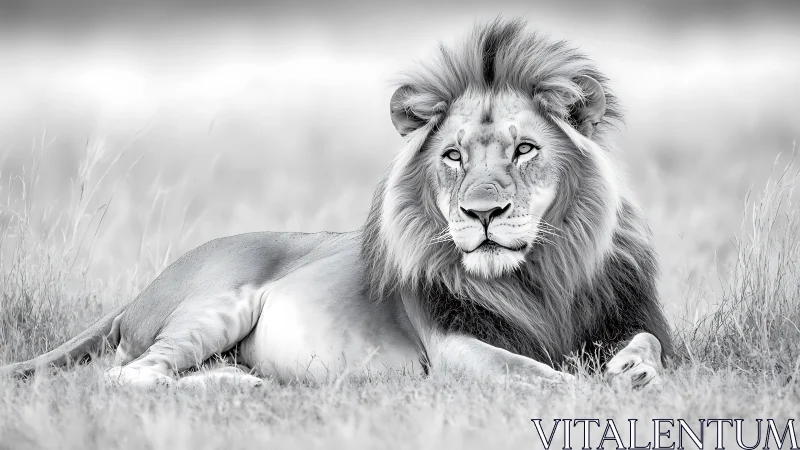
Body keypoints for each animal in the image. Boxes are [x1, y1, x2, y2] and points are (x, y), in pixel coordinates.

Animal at [0, 19, 671, 389]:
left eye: (525, 149)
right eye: (453, 156)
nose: (482, 214)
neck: (537, 280)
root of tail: (138, 295)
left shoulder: (627, 317)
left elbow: (649, 343)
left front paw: (634, 371)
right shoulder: (452, 348)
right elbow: (540, 374)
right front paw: (593, 390)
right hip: (217, 304)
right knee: (129, 375)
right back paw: (237, 389)